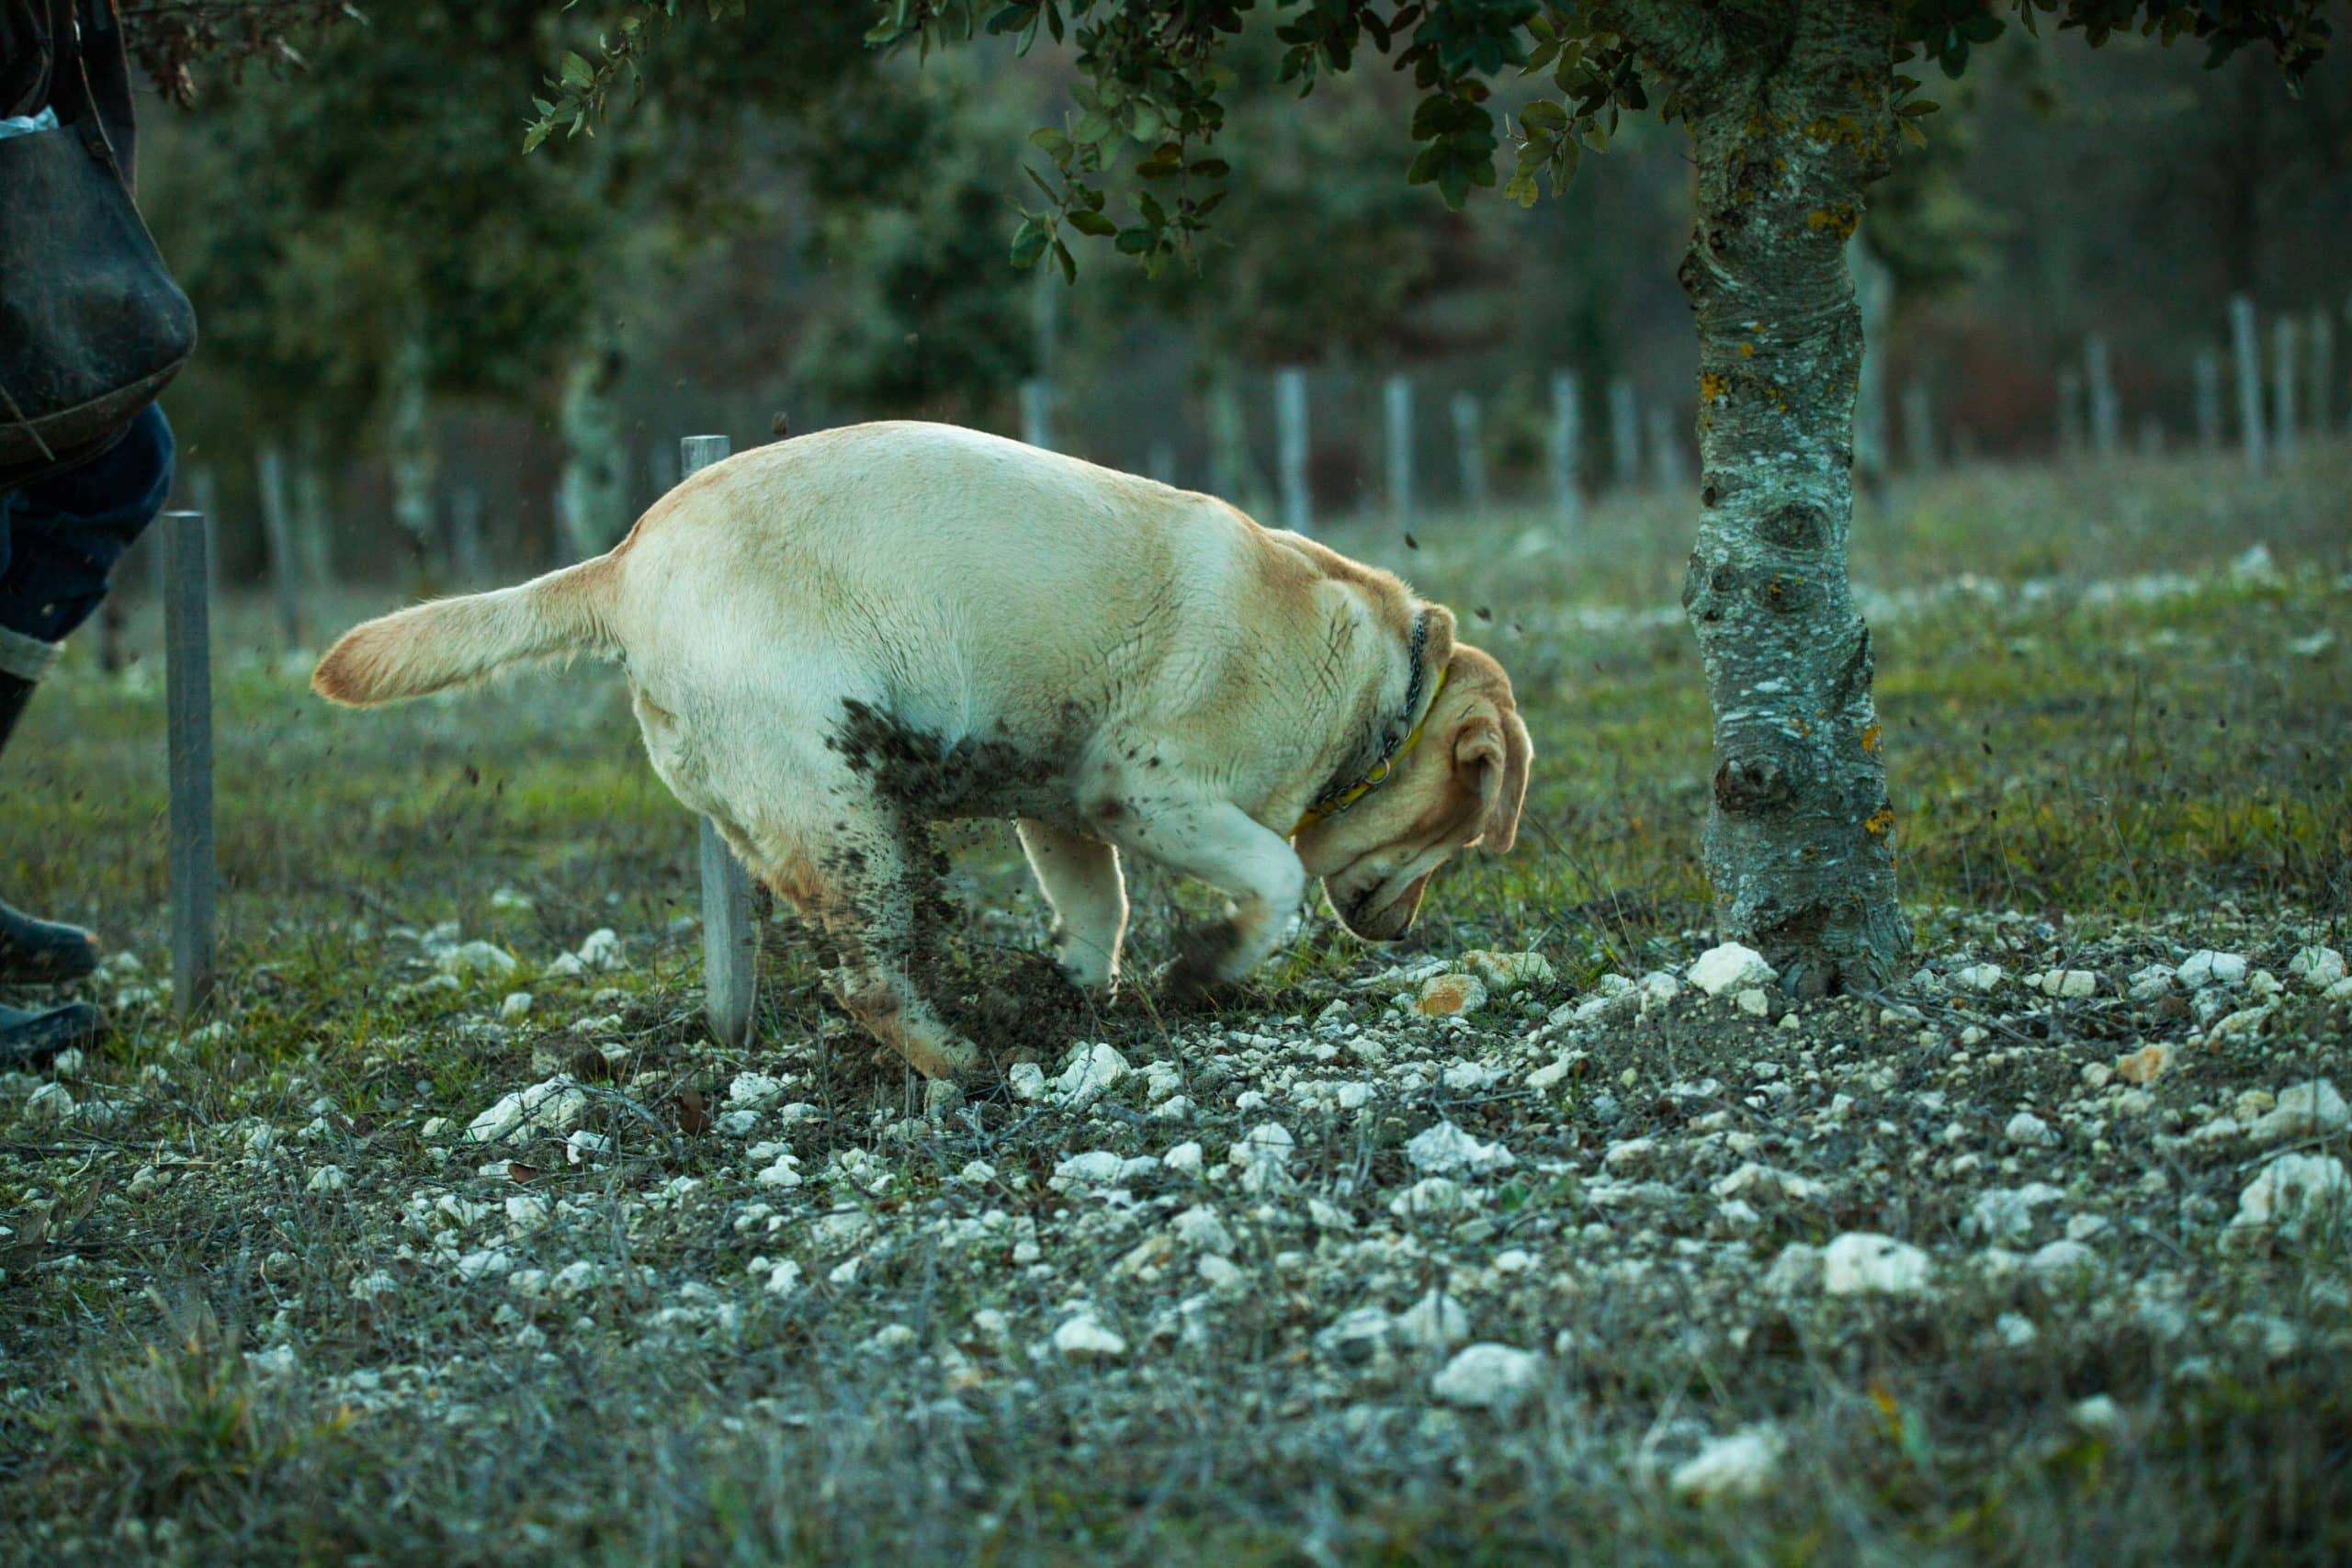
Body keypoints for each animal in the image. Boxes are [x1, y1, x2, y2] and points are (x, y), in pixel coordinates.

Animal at [312, 421, 1533, 1081]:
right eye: (1463, 828)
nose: (1403, 935)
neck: (1379, 687)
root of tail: (624, 561)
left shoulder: (1062, 811)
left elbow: (1098, 916)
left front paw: (1077, 995)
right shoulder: (1148, 789)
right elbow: (1271, 879)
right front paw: (1208, 966)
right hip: (847, 809)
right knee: (867, 980)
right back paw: (961, 1062)